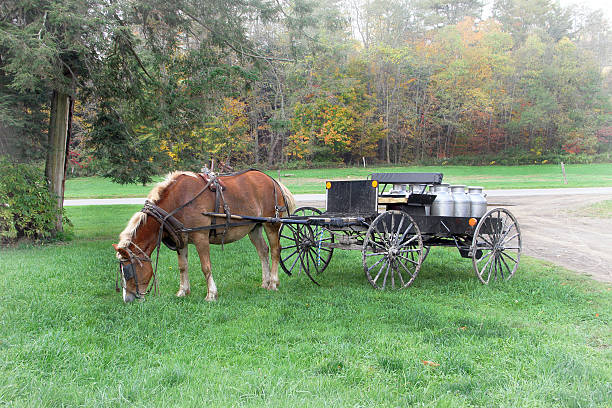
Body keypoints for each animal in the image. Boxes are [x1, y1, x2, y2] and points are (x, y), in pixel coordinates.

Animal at [115, 170, 298, 302]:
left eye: (128, 271)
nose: (127, 299)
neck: (178, 201)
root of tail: (273, 181)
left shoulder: (200, 237)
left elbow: (206, 267)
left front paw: (211, 294)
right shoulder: (182, 241)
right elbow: (183, 266)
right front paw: (183, 291)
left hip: (271, 224)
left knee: (275, 250)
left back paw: (273, 283)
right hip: (254, 227)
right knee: (263, 251)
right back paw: (265, 282)